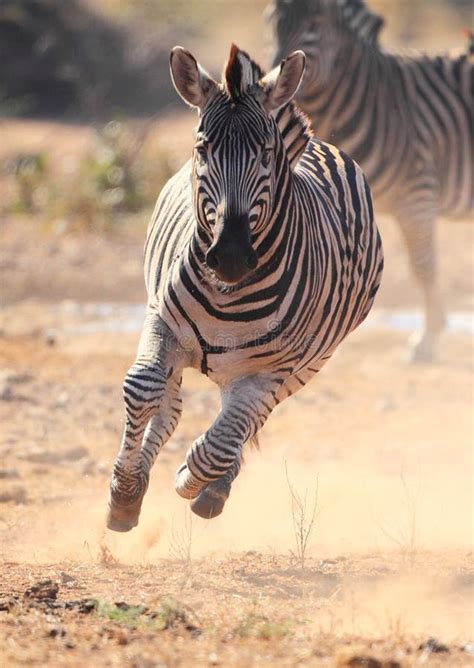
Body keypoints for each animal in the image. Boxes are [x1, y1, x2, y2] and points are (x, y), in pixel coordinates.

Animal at [105, 41, 384, 532]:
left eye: (266, 153)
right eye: (202, 148)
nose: (232, 256)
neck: (227, 296)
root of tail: (318, 148)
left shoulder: (272, 368)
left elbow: (219, 444)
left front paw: (191, 479)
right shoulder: (161, 323)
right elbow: (143, 388)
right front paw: (124, 492)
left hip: (306, 364)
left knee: (245, 421)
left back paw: (213, 487)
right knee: (172, 406)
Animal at [268, 0, 472, 360]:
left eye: (315, 23)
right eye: (271, 21)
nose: (272, 87)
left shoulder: (417, 194)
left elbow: (423, 265)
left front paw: (427, 338)